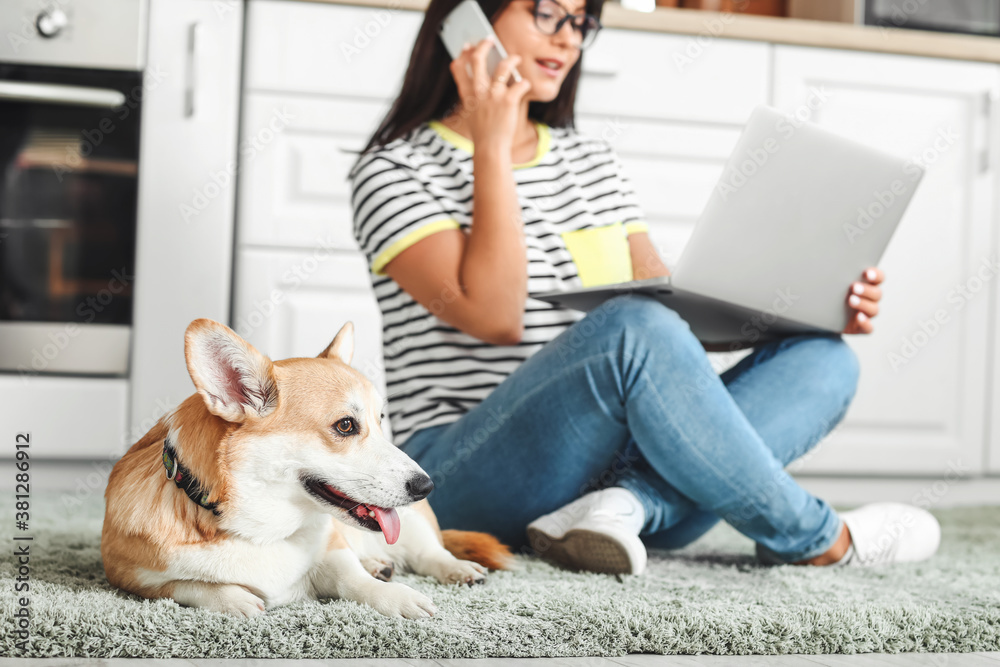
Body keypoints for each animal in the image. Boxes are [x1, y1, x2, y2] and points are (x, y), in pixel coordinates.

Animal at [101, 318, 512, 620]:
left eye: (381, 421)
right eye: (345, 426)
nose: (427, 486)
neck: (262, 529)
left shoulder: (333, 549)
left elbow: (353, 579)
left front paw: (398, 597)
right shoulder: (134, 577)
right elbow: (187, 586)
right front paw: (235, 601)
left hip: (413, 523)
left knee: (430, 551)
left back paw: (454, 568)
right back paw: (379, 562)